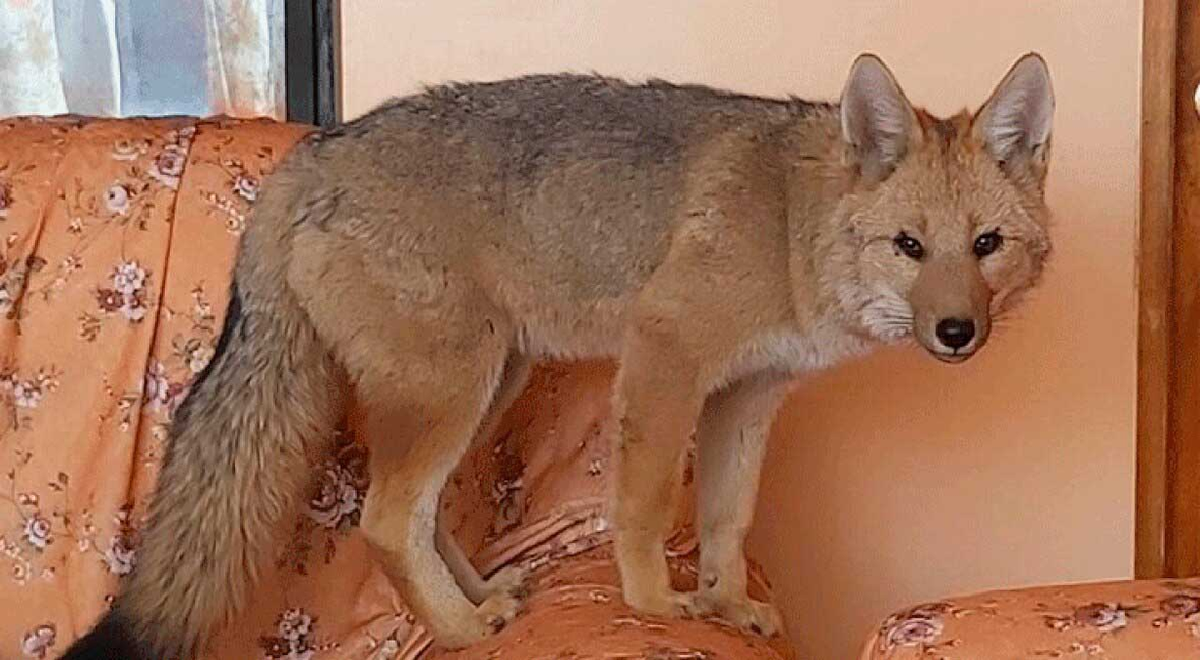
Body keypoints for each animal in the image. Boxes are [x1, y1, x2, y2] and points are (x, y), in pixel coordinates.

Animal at [62, 52, 1054, 658]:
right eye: (910, 248)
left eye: (988, 246)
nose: (958, 333)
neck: (787, 224)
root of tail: (305, 159)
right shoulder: (666, 359)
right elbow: (645, 508)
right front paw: (656, 608)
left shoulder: (745, 396)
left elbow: (727, 523)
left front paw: (727, 606)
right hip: (453, 392)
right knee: (384, 522)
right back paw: (463, 633)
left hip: (487, 386)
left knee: (424, 519)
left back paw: (479, 601)